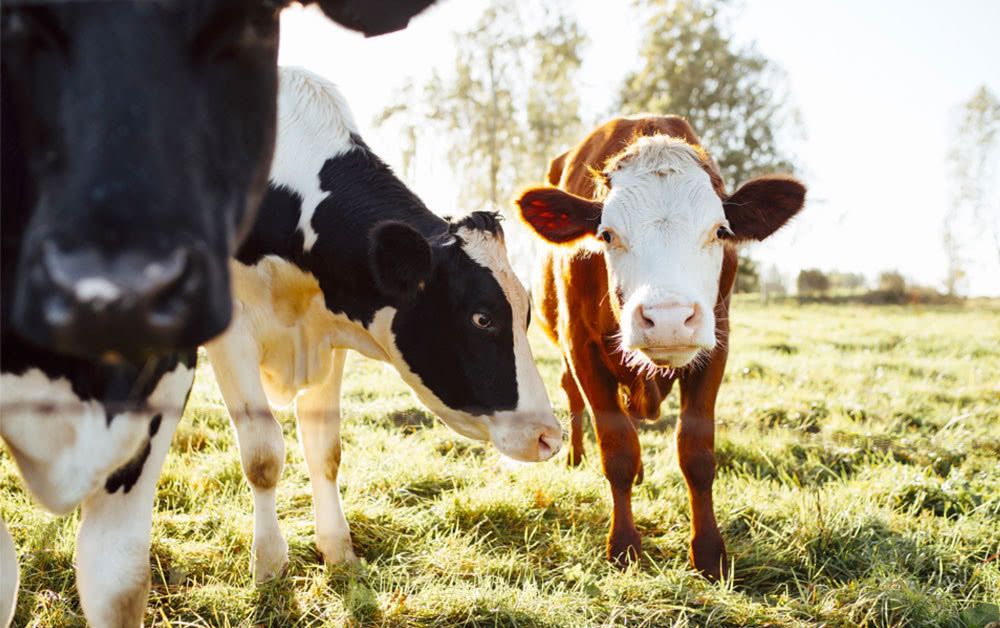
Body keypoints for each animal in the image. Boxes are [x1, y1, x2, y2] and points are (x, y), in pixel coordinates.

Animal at [205, 66, 564, 580]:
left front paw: (339, 552)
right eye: (482, 318)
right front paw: (270, 566)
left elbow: (325, 451)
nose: (549, 437)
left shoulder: (324, 338)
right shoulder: (232, 334)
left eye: (527, 314)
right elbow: (263, 453)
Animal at [516, 116, 804, 580]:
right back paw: (577, 456)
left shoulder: (716, 345)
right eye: (607, 234)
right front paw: (624, 546)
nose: (668, 318)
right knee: (573, 395)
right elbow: (617, 449)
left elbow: (696, 453)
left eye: (720, 231)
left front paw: (708, 554)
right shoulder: (581, 347)